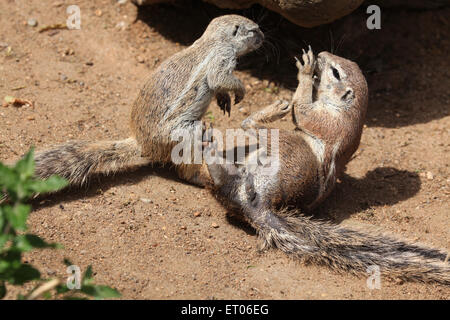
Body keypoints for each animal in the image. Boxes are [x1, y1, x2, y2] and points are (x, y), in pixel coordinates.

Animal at [32, 14, 264, 188]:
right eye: (253, 30)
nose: (263, 36)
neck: (211, 40)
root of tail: (141, 143)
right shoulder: (222, 56)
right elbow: (219, 77)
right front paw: (240, 89)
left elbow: (218, 85)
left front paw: (224, 99)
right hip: (183, 133)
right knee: (186, 162)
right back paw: (199, 178)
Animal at [208, 48, 450, 284]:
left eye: (335, 73)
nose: (322, 55)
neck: (346, 109)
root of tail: (260, 207)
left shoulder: (326, 119)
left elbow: (302, 112)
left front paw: (306, 71)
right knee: (222, 181)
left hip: (290, 147)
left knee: (249, 125)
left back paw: (269, 112)